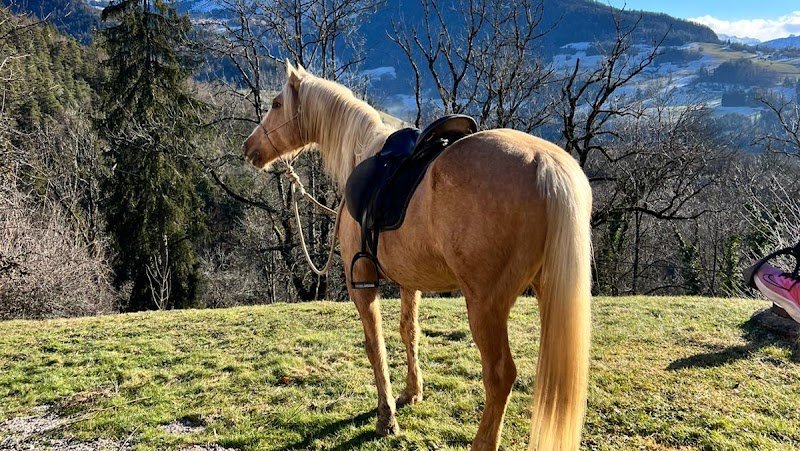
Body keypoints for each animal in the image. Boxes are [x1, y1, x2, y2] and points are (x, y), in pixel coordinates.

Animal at [243, 62, 593, 451]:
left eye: (276, 104)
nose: (249, 147)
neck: (363, 152)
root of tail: (545, 163)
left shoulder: (361, 281)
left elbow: (375, 345)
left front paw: (386, 418)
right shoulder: (410, 282)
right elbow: (409, 332)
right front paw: (412, 393)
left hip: (485, 305)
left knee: (500, 374)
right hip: (547, 291)